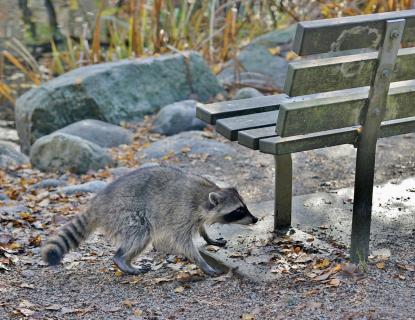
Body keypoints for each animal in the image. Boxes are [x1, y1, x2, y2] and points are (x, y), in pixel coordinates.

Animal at [41, 165, 256, 276]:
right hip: (123, 214)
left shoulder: (196, 214)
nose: (255, 219)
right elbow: (183, 242)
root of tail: (98, 202)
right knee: (140, 234)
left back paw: (126, 260)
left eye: (244, 206)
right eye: (238, 211)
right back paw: (122, 259)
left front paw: (207, 237)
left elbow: (201, 227)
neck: (205, 195)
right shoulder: (182, 212)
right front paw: (202, 263)